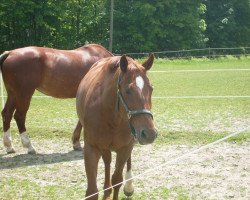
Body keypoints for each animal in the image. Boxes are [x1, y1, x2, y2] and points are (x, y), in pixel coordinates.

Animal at [76, 54, 158, 200]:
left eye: (151, 88)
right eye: (127, 90)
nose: (149, 134)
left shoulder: (125, 148)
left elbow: (117, 180)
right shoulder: (91, 148)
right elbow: (92, 191)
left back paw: (128, 187)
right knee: (107, 161)